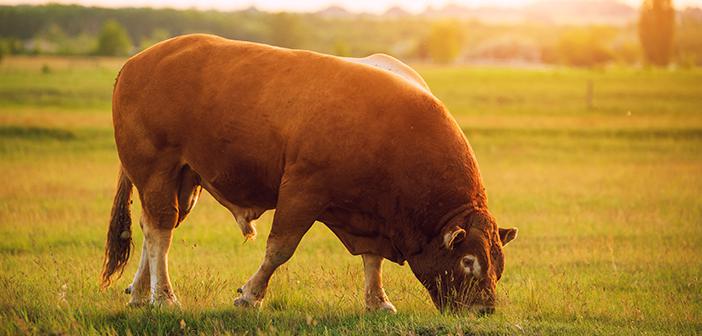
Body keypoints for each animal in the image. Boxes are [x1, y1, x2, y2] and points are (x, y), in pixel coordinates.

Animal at [102, 32, 516, 314]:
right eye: (469, 261)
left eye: (498, 264)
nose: (485, 309)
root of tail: (136, 63)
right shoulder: (302, 191)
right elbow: (279, 249)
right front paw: (250, 294)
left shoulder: (371, 214)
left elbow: (373, 259)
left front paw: (377, 301)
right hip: (157, 170)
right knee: (160, 231)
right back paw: (163, 296)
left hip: (185, 181)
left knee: (153, 227)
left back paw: (140, 292)